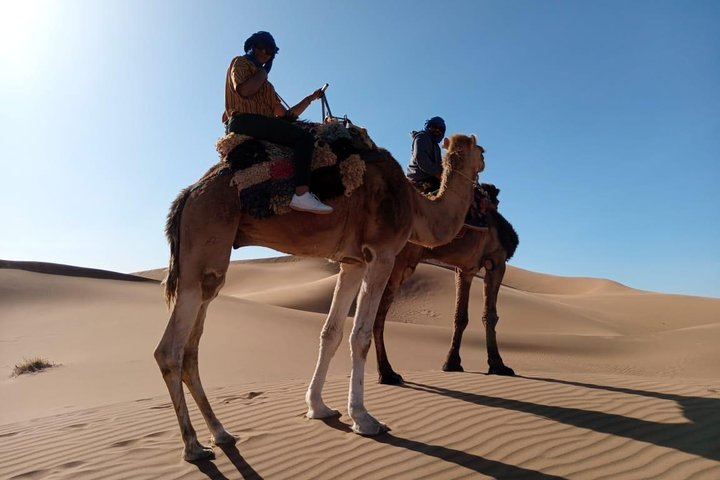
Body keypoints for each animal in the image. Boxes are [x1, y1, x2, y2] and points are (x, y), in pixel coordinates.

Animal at [154, 130, 485, 461]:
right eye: (482, 150)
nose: (484, 169)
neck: (416, 207)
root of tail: (189, 193)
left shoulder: (353, 262)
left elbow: (331, 332)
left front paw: (319, 407)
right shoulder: (382, 253)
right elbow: (360, 335)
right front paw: (364, 419)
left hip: (208, 264)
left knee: (191, 349)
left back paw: (221, 433)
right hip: (205, 242)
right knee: (169, 351)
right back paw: (193, 446)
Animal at [372, 186, 519, 385]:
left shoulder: (465, 269)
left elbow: (460, 316)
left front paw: (452, 363)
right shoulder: (497, 260)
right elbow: (490, 315)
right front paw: (498, 365)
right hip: (399, 261)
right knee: (377, 314)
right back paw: (387, 373)